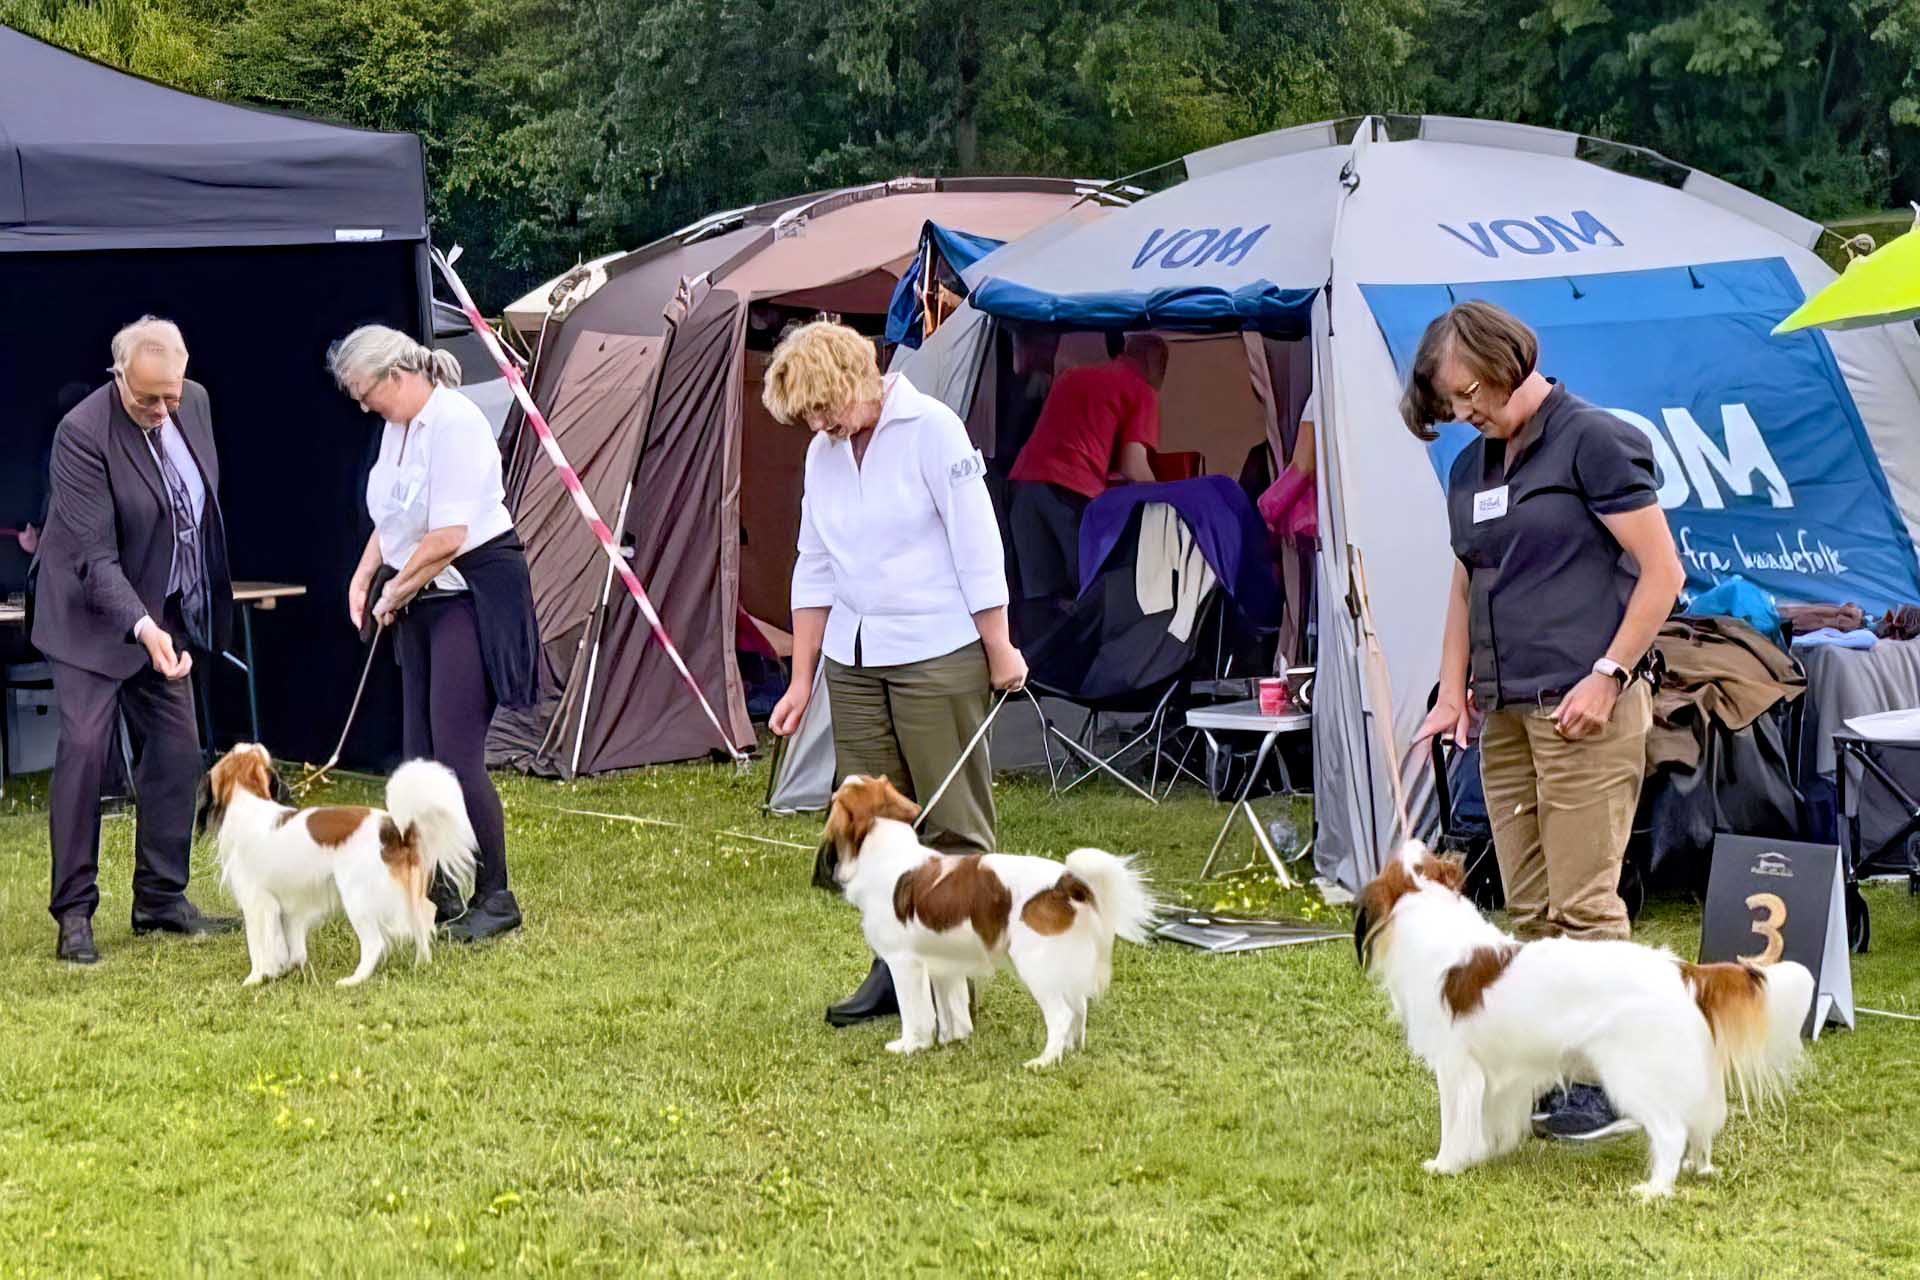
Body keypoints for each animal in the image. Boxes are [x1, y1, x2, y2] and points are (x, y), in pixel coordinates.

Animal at [196, 740, 480, 990]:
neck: (247, 801)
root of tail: (394, 830)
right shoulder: (290, 905)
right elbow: (290, 942)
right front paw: (288, 969)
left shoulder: (257, 903)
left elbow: (258, 947)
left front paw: (255, 979)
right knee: (423, 921)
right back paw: (422, 964)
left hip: (357, 898)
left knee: (376, 943)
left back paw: (354, 980)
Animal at [814, 775, 1152, 1066]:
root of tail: (1065, 881)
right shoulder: (943, 963)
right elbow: (951, 1009)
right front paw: (951, 1040)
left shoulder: (904, 963)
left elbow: (915, 1013)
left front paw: (910, 1045)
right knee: (1079, 1006)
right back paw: (1071, 1051)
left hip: (1036, 963)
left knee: (1062, 1014)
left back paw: (1044, 1061)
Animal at [1351, 840, 1812, 1205]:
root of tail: (1683, 969)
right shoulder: (1500, 1075)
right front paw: (1485, 1153)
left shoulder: (1456, 1069)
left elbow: (1454, 1125)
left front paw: (1445, 1164)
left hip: (1631, 1073)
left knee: (1670, 1132)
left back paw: (1655, 1190)